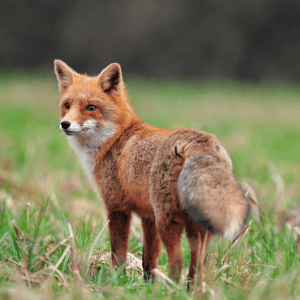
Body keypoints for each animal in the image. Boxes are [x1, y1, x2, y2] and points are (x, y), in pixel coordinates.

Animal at [54, 59, 251, 288]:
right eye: (67, 106)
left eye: (91, 108)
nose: (65, 124)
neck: (115, 140)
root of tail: (199, 140)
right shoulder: (147, 215)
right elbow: (149, 258)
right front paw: (147, 286)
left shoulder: (117, 208)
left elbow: (118, 254)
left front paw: (116, 282)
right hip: (196, 227)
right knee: (197, 267)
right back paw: (191, 290)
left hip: (168, 222)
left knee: (177, 263)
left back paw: (172, 290)